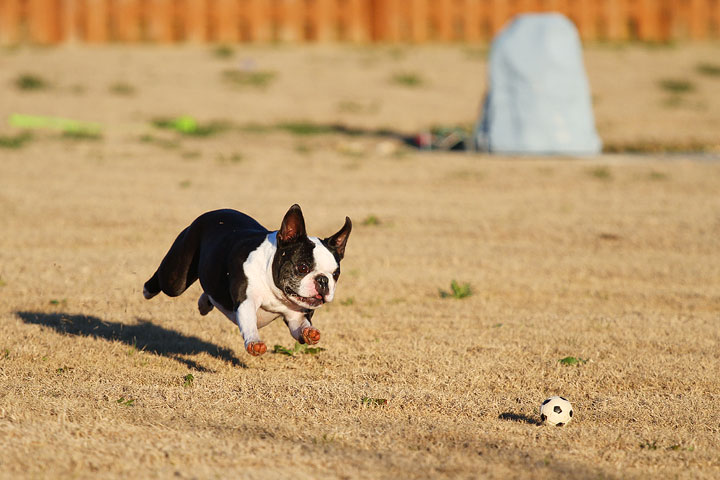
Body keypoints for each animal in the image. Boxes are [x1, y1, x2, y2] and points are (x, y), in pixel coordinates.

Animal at [142, 203, 350, 356]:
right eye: (303, 267)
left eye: (336, 274)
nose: (323, 281)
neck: (274, 289)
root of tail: (213, 212)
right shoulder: (246, 301)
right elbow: (249, 321)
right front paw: (254, 342)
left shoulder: (295, 316)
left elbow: (301, 327)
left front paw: (310, 332)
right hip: (176, 276)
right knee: (165, 281)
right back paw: (147, 290)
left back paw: (204, 304)